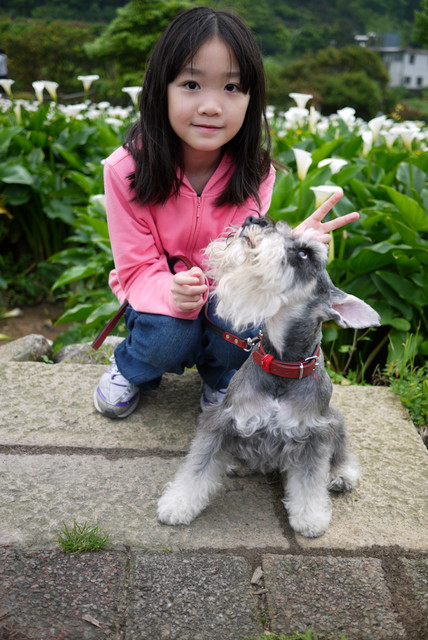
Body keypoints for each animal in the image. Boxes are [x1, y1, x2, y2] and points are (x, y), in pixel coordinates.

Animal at [158, 218, 382, 536]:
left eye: (305, 253)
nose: (256, 220)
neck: (282, 365)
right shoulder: (221, 421)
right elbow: (197, 468)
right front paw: (177, 504)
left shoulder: (315, 435)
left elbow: (310, 480)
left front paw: (310, 517)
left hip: (336, 420)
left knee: (340, 451)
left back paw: (342, 474)